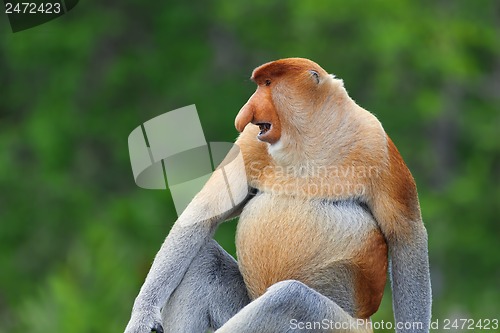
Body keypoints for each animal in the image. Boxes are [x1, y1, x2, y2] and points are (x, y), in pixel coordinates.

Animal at [124, 57, 430, 332]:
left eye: (269, 83)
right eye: (261, 84)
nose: (243, 116)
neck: (308, 139)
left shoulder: (376, 143)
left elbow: (406, 235)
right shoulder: (250, 143)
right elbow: (204, 214)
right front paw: (143, 316)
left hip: (339, 326)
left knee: (289, 298)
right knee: (204, 260)